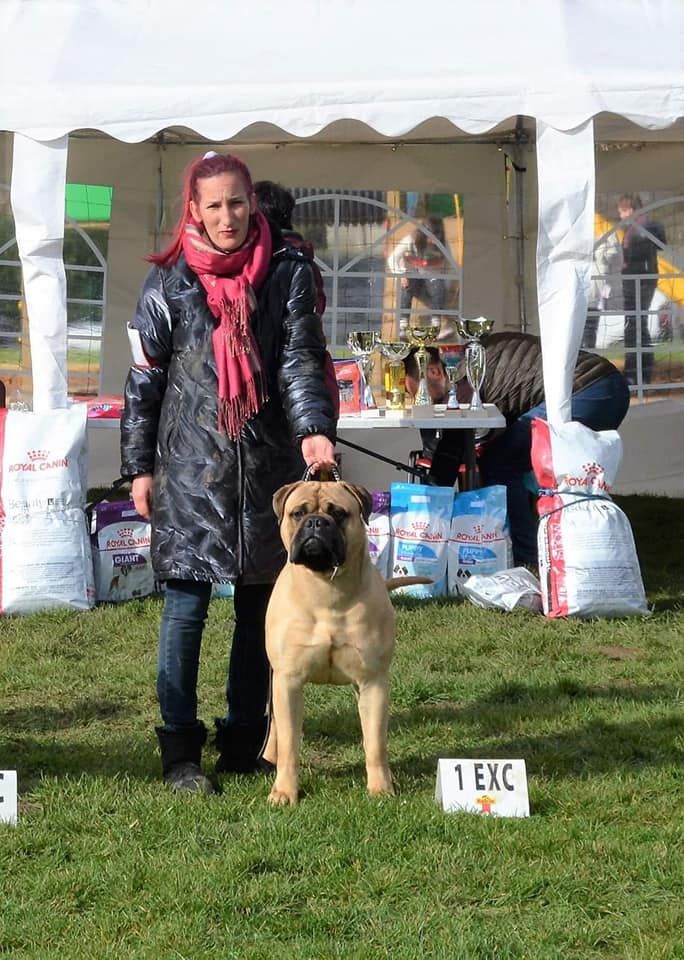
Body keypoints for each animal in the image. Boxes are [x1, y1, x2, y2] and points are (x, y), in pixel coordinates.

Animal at [264, 478, 424, 804]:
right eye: (298, 513)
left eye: (338, 513)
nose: (316, 523)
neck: (325, 589)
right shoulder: (288, 681)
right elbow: (289, 744)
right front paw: (284, 792)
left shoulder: (373, 681)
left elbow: (375, 742)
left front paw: (380, 788)